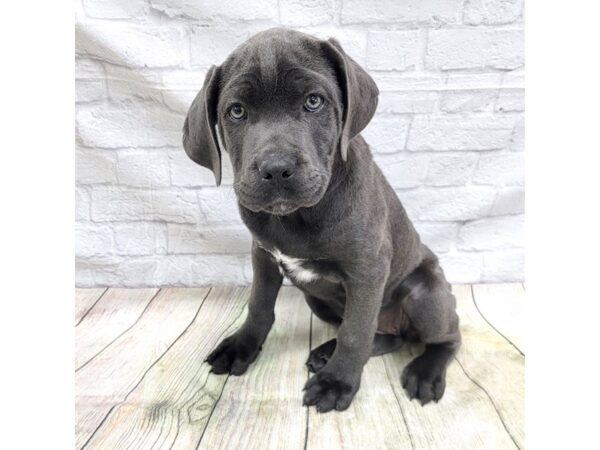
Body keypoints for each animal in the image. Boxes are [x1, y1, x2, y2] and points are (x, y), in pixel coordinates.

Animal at [185, 28, 462, 414]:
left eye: (314, 102)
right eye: (236, 111)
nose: (276, 169)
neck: (295, 217)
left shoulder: (368, 270)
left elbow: (354, 332)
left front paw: (337, 382)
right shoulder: (263, 256)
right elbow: (259, 307)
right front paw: (241, 346)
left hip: (426, 296)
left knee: (447, 336)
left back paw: (425, 371)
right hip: (316, 300)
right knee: (385, 335)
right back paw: (328, 352)